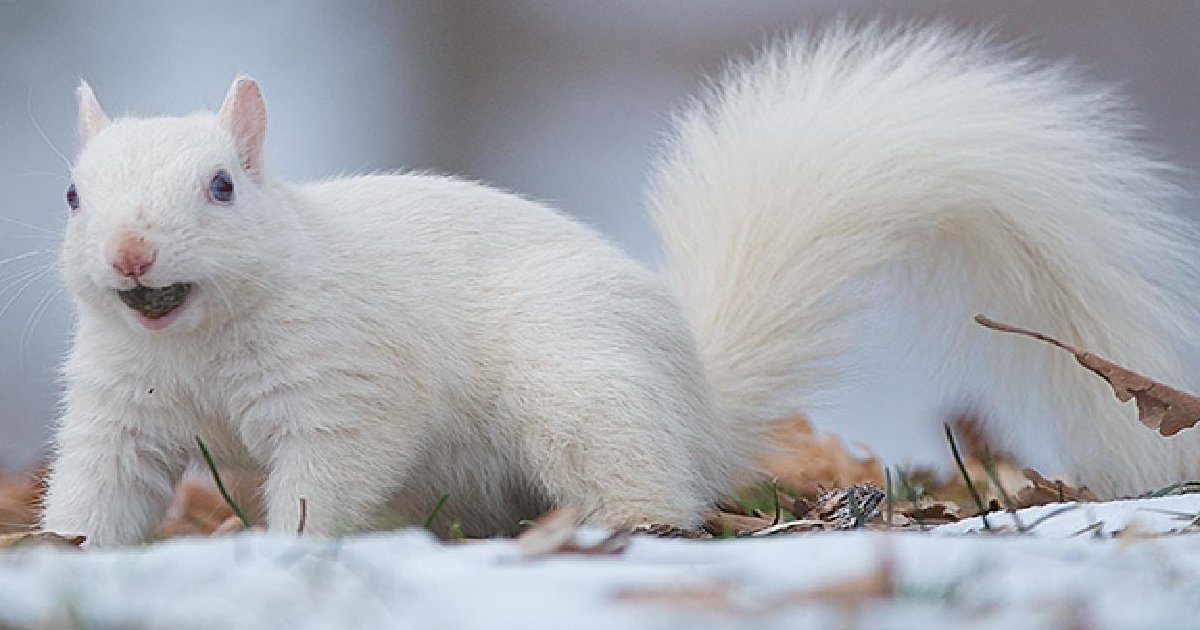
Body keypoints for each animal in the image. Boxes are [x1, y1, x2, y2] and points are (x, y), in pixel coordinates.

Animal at [41, 22, 1200, 545]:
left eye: (223, 186)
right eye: (72, 194)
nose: (131, 255)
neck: (194, 338)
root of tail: (700, 410)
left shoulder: (346, 383)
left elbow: (328, 474)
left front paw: (290, 546)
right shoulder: (119, 407)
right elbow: (99, 487)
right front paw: (74, 551)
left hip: (579, 383)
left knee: (651, 485)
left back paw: (622, 523)